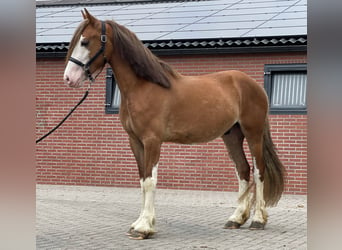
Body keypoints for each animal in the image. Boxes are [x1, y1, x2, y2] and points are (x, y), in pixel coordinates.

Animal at [62, 9, 284, 240]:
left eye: (85, 41)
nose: (68, 78)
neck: (144, 87)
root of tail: (254, 85)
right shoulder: (135, 141)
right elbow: (142, 180)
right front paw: (139, 223)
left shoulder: (152, 141)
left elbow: (150, 181)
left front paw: (144, 228)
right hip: (232, 135)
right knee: (243, 170)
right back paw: (236, 219)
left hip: (253, 133)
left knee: (259, 171)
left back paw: (258, 220)